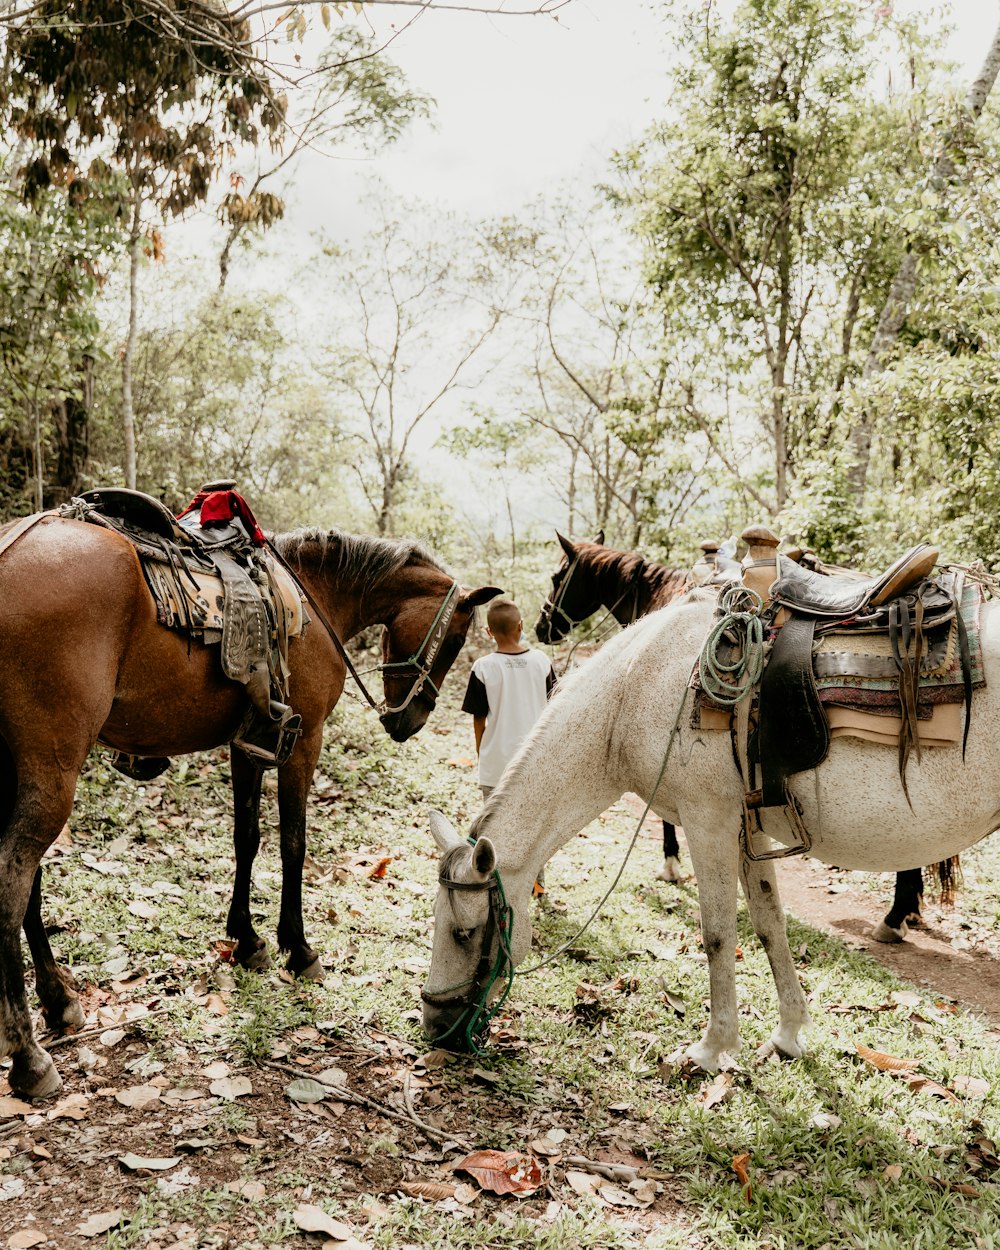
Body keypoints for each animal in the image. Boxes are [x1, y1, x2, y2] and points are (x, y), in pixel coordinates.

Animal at [0, 517, 500, 1095]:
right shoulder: (303, 742)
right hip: (52, 765)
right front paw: (297, 948)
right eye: (457, 639)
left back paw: (58, 1001)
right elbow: (292, 843)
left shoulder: (251, 743)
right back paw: (29, 1053)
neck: (315, 596)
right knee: (14, 876)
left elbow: (247, 838)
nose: (409, 720)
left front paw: (246, 940)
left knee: (29, 879)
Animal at [420, 585, 1000, 1065]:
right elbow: (769, 924)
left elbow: (718, 933)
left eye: (464, 933)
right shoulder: (747, 829)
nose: (434, 1028)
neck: (636, 689)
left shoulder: (708, 822)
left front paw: (711, 1049)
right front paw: (788, 1035)